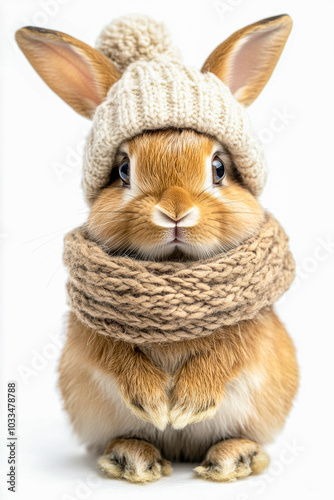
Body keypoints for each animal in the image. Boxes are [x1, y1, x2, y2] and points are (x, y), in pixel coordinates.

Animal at [15, 13, 298, 484]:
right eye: (123, 170)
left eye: (218, 168)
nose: (175, 212)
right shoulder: (90, 337)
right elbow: (113, 354)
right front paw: (155, 403)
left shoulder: (253, 330)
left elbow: (227, 354)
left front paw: (184, 406)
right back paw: (133, 457)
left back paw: (232, 457)